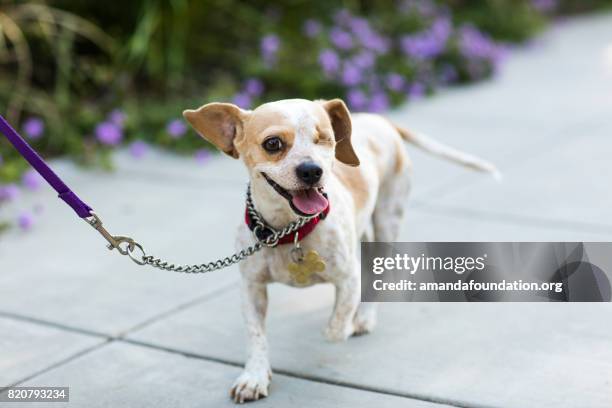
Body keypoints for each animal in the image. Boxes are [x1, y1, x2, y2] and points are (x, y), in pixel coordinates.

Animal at [183, 98, 498, 402]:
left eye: (326, 139)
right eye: (273, 144)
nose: (312, 170)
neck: (290, 231)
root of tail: (379, 119)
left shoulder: (348, 277)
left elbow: (337, 326)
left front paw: (344, 322)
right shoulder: (251, 288)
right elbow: (256, 336)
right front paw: (255, 376)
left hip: (388, 220)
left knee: (377, 273)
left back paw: (364, 317)